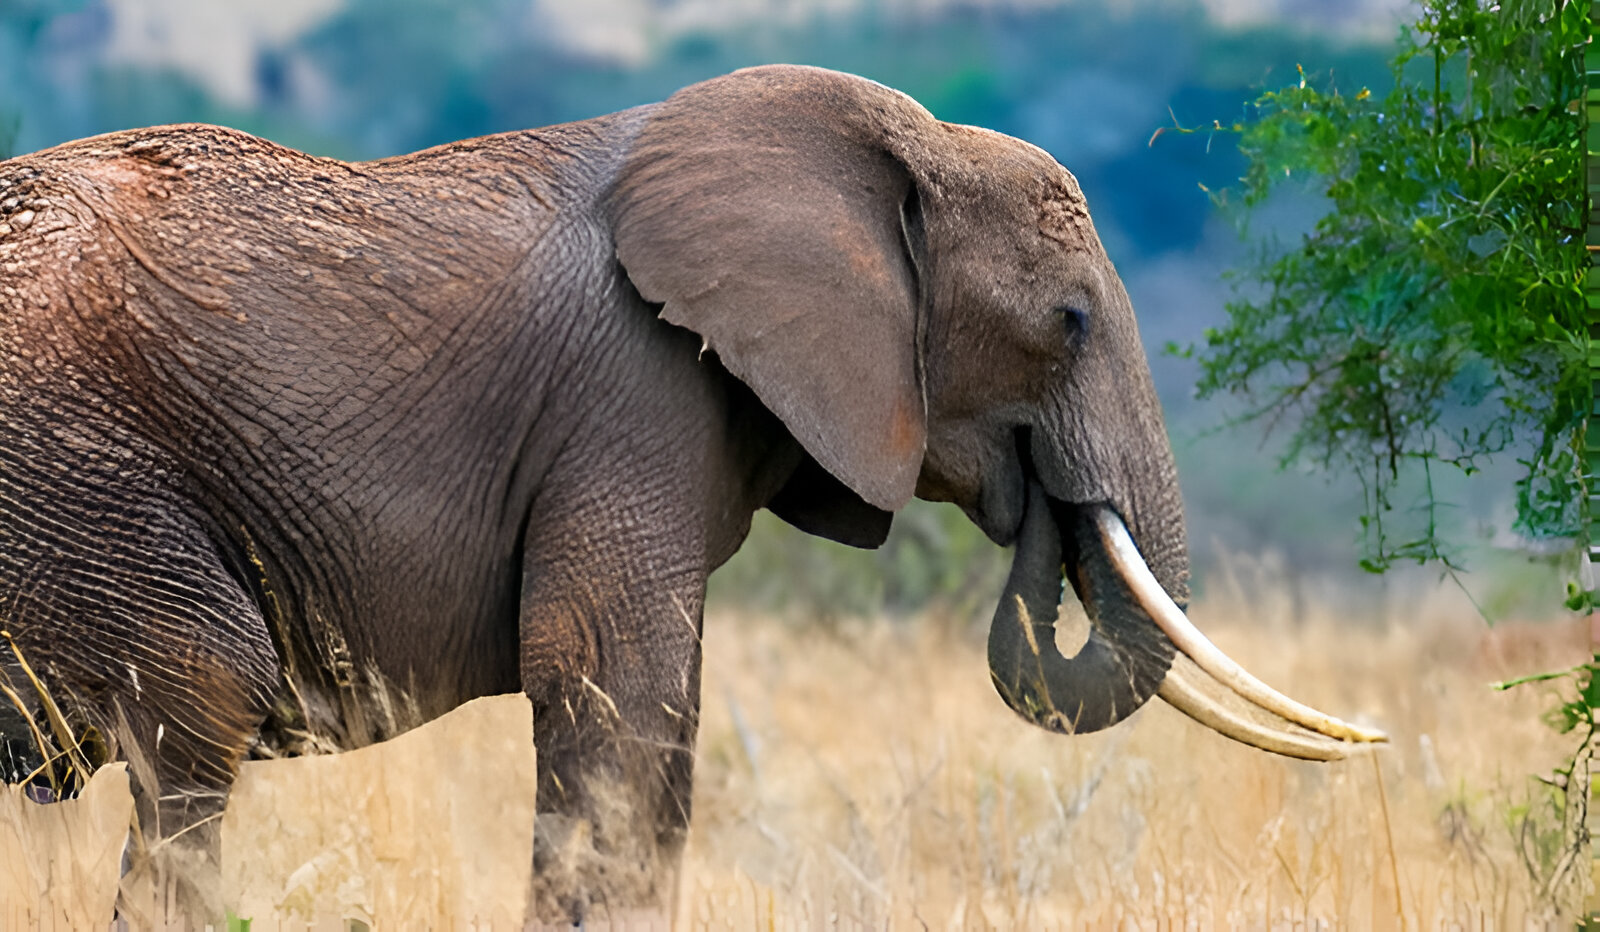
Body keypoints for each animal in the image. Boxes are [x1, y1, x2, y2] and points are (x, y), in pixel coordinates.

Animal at [0, 64, 1383, 922]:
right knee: (201, 701)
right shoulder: (634, 390)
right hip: (75, 474)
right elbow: (619, 685)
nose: (1038, 502)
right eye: (1070, 321)